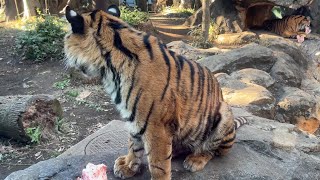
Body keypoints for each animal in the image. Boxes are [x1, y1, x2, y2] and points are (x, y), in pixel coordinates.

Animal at [62, 4, 248, 179]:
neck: (109, 68)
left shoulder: (157, 126)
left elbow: (158, 165)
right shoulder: (134, 117)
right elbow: (133, 144)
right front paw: (128, 166)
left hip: (224, 112)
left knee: (213, 151)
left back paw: (195, 159)